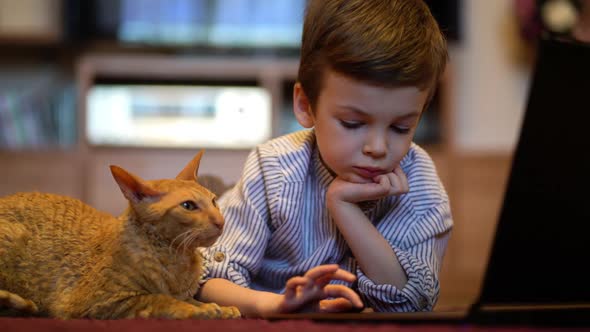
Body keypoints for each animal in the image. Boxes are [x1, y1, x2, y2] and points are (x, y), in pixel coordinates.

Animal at [0, 151, 240, 320]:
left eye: (214, 201)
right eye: (188, 206)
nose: (221, 221)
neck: (177, 257)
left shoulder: (183, 291)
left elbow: (191, 298)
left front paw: (218, 308)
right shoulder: (101, 301)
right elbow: (158, 299)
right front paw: (198, 310)